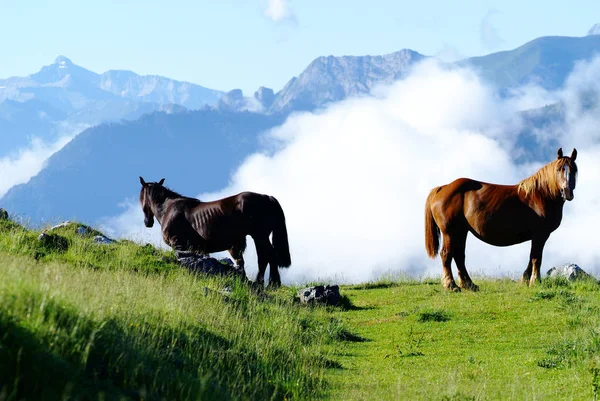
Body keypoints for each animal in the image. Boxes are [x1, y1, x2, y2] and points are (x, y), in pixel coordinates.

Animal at [141, 177, 290, 286]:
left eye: (141, 195)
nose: (147, 222)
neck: (168, 209)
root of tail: (268, 197)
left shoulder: (178, 244)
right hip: (259, 237)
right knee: (265, 257)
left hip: (260, 236)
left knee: (268, 256)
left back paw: (269, 283)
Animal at [424, 147, 580, 290]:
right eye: (558, 169)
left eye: (573, 170)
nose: (567, 192)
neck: (541, 195)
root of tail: (442, 188)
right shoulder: (540, 234)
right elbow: (536, 258)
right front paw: (535, 281)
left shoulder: (538, 236)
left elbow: (531, 258)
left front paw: (525, 280)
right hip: (449, 231)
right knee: (446, 254)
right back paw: (451, 285)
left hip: (461, 231)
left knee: (459, 255)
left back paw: (469, 285)